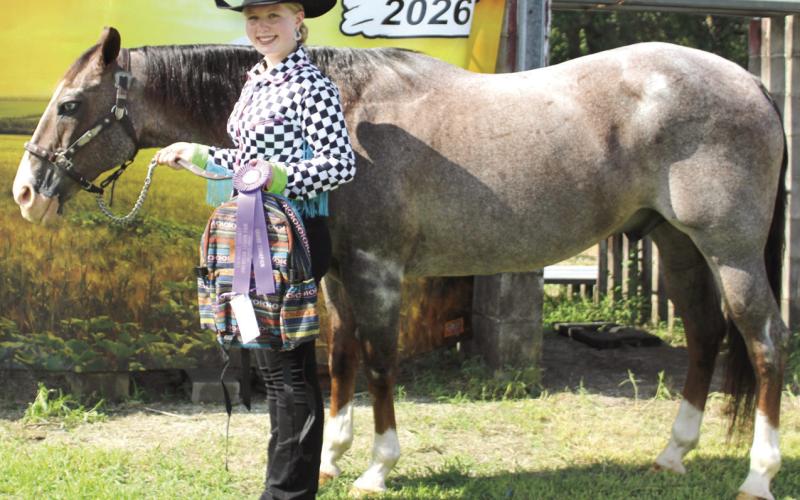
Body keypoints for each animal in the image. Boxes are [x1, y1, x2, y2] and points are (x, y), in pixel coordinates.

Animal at [12, 27, 790, 499]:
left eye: (72, 103)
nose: (25, 192)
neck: (344, 117)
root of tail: (752, 84)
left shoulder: (376, 271)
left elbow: (381, 364)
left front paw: (377, 469)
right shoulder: (335, 277)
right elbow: (341, 361)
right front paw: (331, 458)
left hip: (730, 251)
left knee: (763, 343)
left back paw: (758, 474)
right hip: (673, 243)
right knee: (705, 335)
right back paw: (673, 453)